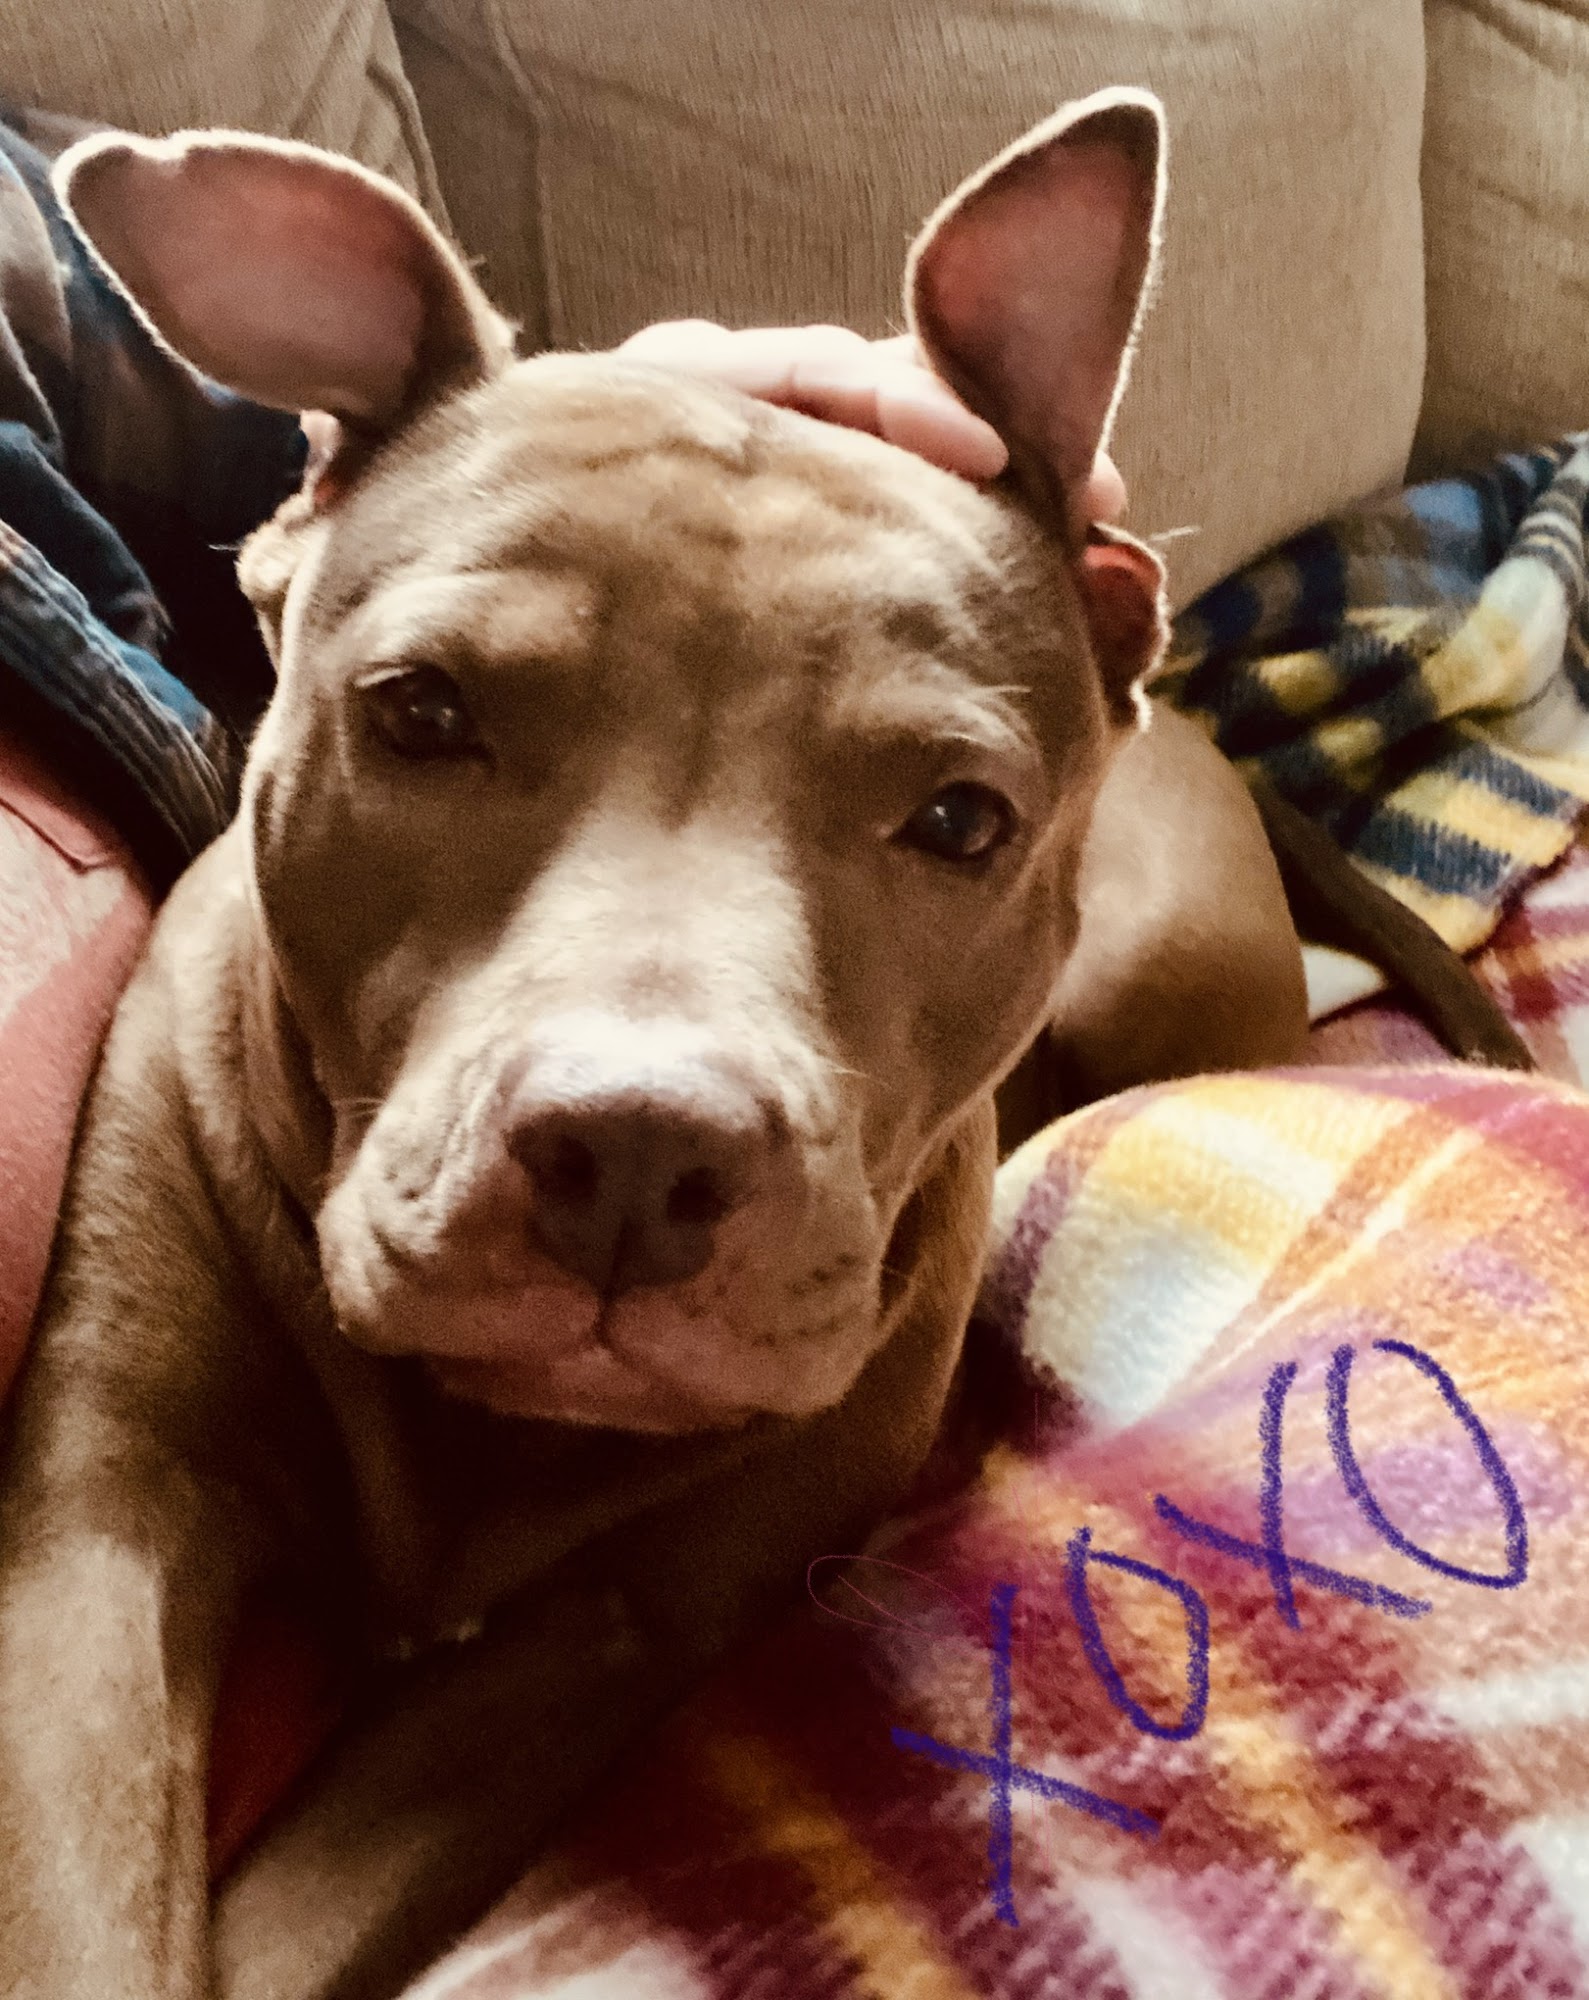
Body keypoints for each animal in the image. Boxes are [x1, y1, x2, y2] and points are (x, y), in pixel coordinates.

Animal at [0, 91, 1319, 2000]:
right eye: (418, 712)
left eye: (960, 817)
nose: (636, 1154)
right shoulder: (105, 1516)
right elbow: (85, 1905)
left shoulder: (607, 1638)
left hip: (1160, 972)